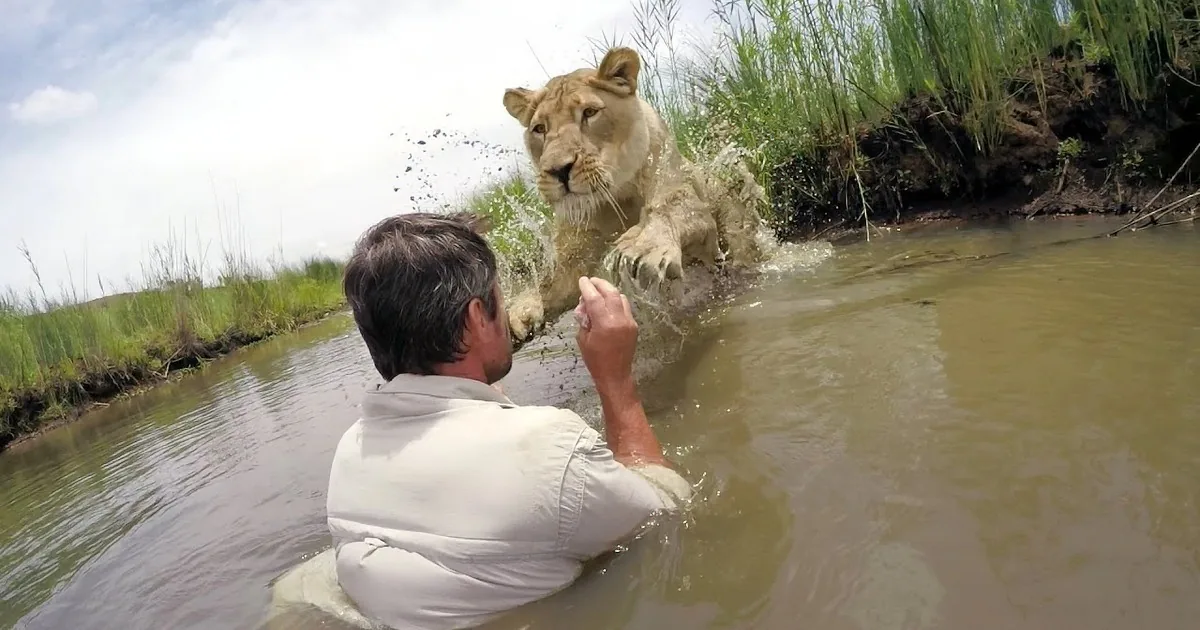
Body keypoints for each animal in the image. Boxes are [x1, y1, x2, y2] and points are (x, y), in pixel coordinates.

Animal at [500, 46, 767, 345]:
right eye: (539, 129)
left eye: (590, 112)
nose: (559, 170)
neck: (615, 198)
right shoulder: (576, 251)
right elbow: (549, 283)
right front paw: (520, 311)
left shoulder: (691, 207)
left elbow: (668, 209)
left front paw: (643, 247)